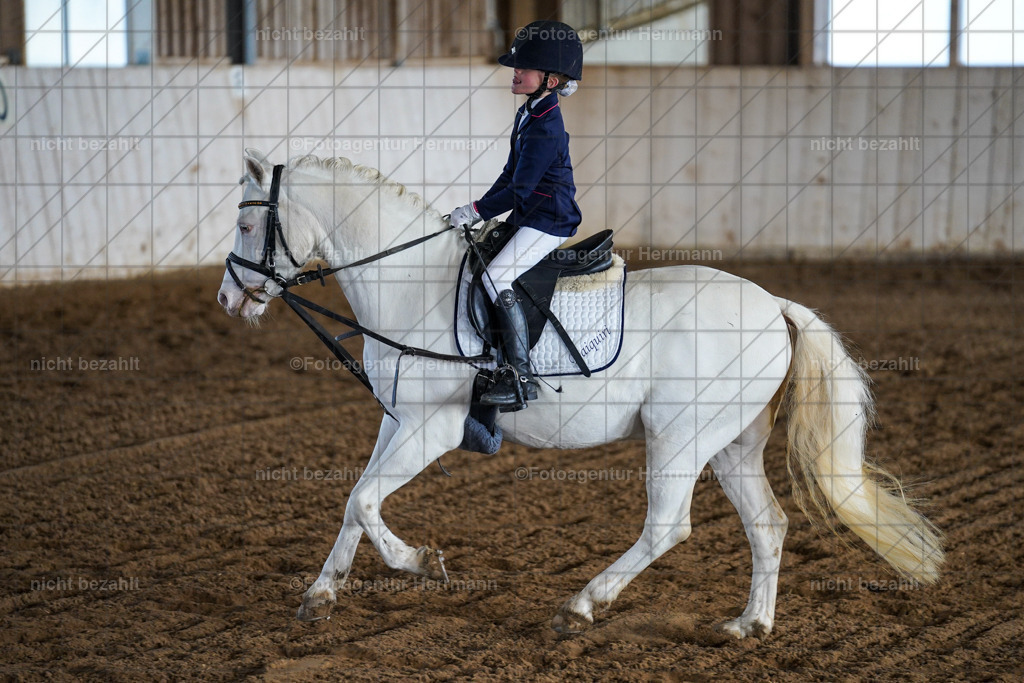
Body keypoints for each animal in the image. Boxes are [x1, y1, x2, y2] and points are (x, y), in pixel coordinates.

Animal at [217, 149, 944, 638]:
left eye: (248, 227)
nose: (229, 300)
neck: (411, 284)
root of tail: (774, 306)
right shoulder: (397, 421)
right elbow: (352, 501)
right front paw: (321, 595)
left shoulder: (435, 427)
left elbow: (365, 499)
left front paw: (421, 562)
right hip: (730, 440)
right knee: (767, 523)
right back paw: (748, 626)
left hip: (680, 435)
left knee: (668, 524)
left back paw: (580, 606)